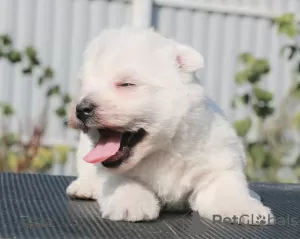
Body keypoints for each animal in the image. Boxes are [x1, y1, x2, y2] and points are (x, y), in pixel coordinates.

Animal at [67, 27, 274, 225]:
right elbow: (123, 181)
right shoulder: (109, 172)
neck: (163, 148)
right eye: (83, 85)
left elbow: (226, 190)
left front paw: (246, 208)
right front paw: (132, 203)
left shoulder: (216, 167)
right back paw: (83, 187)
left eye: (126, 84)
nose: (81, 109)